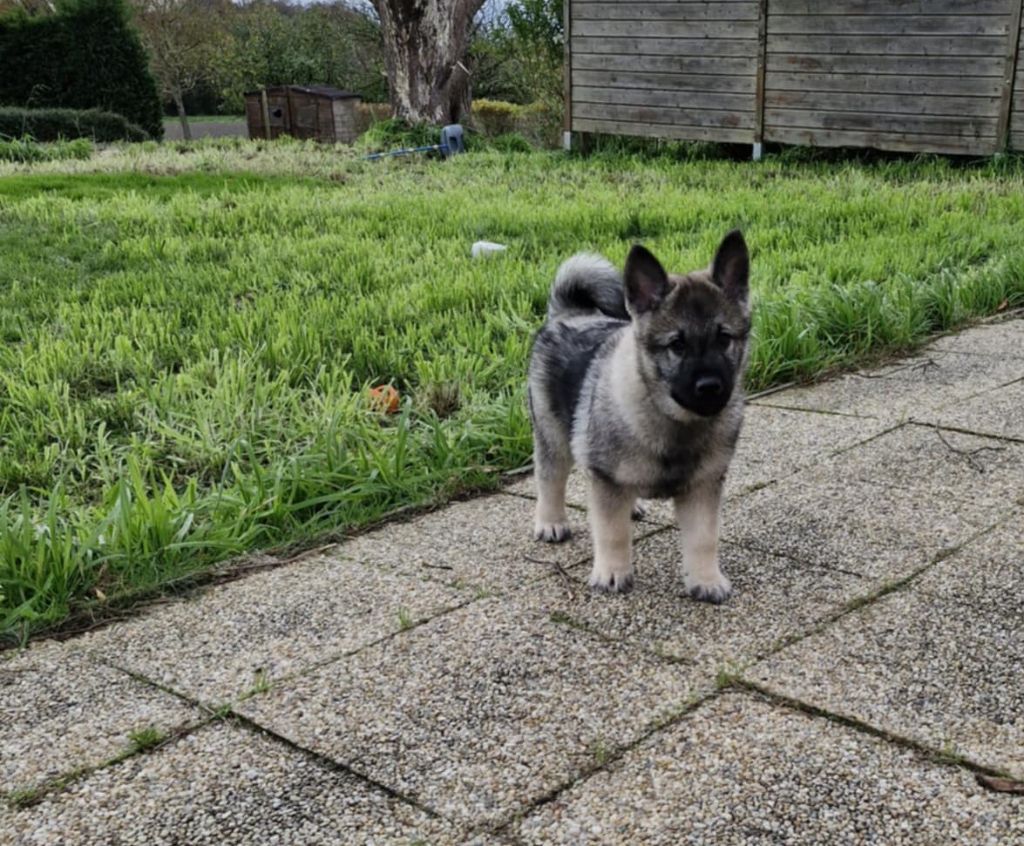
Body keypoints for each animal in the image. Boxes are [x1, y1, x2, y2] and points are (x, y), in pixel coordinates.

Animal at [527, 231, 750, 602]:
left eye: (724, 339)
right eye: (677, 345)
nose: (710, 387)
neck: (675, 421)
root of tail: (569, 314)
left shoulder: (703, 486)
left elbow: (703, 538)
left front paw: (705, 580)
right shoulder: (605, 477)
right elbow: (612, 532)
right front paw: (613, 573)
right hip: (552, 433)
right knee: (550, 478)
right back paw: (551, 522)